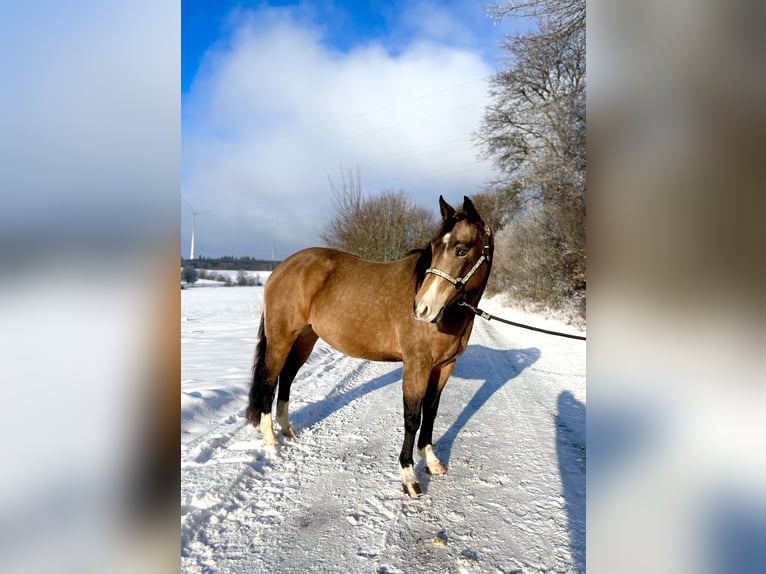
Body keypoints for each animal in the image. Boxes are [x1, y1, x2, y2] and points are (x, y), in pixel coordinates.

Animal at [246, 195, 493, 497]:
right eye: (434, 248)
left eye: (461, 250)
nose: (422, 309)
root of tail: (281, 268)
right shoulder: (417, 365)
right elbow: (412, 417)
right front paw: (409, 477)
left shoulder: (444, 367)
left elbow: (431, 413)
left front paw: (432, 462)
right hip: (281, 338)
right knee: (270, 380)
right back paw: (271, 438)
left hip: (304, 338)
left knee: (287, 377)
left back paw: (287, 430)